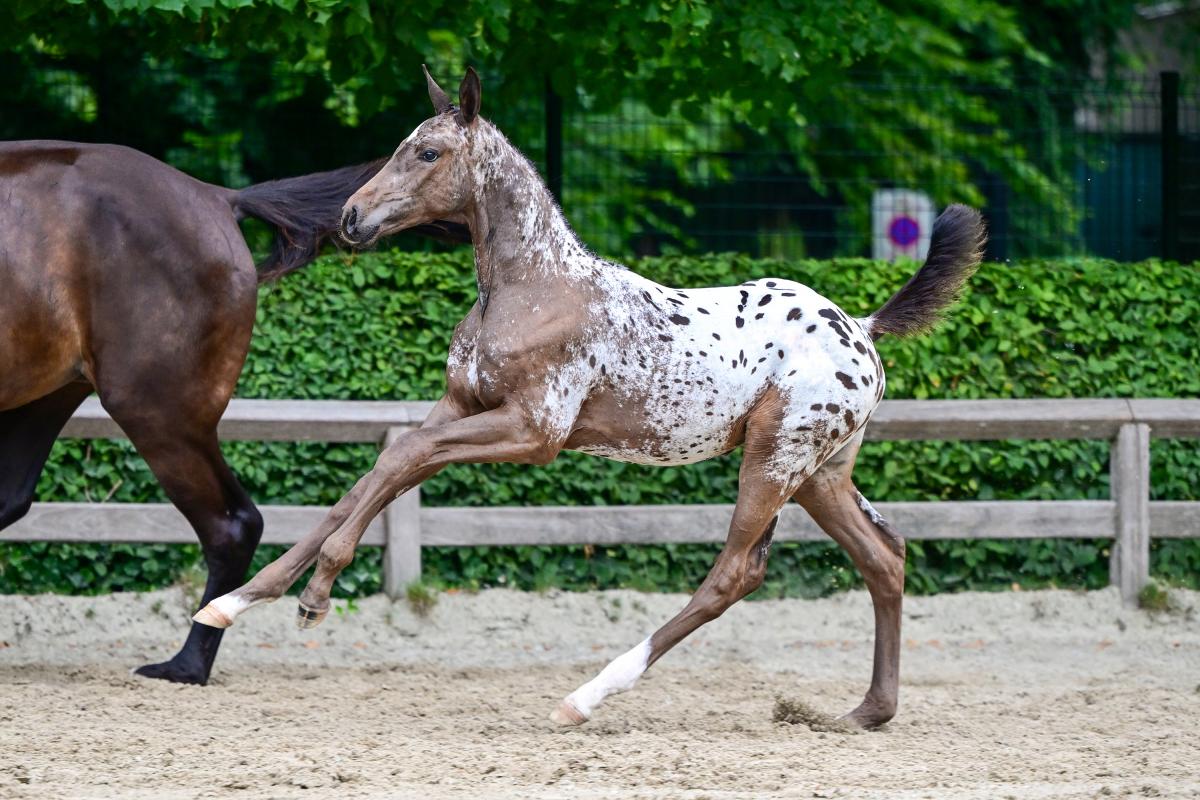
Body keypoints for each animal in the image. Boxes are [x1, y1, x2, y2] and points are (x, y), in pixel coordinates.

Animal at [194, 66, 985, 729]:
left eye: (428, 154)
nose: (352, 219)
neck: (530, 287)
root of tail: (863, 329)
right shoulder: (461, 408)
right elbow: (376, 476)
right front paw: (237, 603)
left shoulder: (535, 431)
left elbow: (402, 458)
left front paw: (312, 595)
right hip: (820, 473)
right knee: (884, 557)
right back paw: (866, 712)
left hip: (774, 458)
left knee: (735, 573)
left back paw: (583, 698)